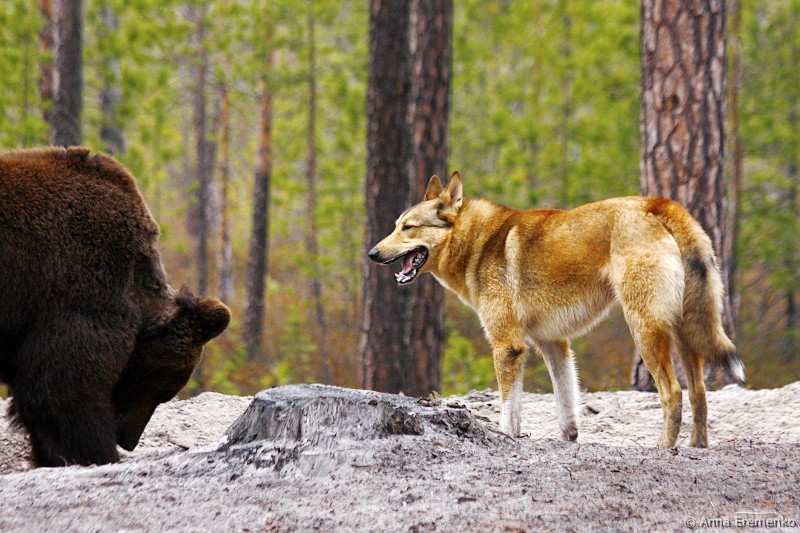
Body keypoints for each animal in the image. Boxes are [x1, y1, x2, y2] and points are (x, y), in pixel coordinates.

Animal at [368, 172, 745, 448]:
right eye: (396, 225)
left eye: (407, 227)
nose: (372, 253)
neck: (478, 242)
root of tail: (658, 203)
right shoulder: (554, 345)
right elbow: (566, 407)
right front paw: (568, 441)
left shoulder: (508, 346)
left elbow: (509, 408)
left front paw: (507, 438)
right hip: (686, 334)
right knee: (699, 395)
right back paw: (697, 447)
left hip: (646, 332)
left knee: (673, 394)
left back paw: (664, 449)